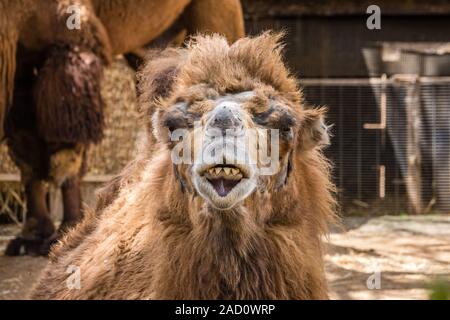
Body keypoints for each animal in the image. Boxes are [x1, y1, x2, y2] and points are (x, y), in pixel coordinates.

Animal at [0, 0, 244, 255]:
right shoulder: (20, 60)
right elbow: (26, 145)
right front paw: (30, 237)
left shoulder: (70, 37)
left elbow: (65, 148)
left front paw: (65, 230)